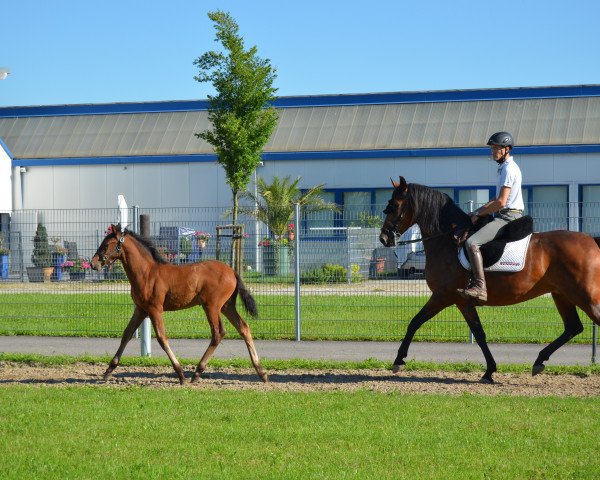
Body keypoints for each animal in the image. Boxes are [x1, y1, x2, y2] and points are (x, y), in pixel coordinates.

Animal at [90, 223, 268, 384]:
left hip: (212, 306)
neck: (146, 273)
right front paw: (108, 371)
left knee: (218, 333)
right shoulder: (140, 309)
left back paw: (197, 373)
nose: (93, 264)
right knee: (243, 328)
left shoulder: (155, 309)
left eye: (106, 245)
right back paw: (261, 372)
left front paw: (181, 374)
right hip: (226, 306)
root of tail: (232, 271)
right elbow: (126, 334)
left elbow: (162, 338)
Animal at [380, 176, 600, 382]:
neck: (447, 240)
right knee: (573, 327)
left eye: (394, 206)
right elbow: (479, 334)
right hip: (561, 294)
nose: (384, 238)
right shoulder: (462, 302)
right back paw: (539, 361)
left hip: (584, 296)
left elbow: (414, 322)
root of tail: (592, 241)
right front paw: (489, 371)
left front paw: (398, 360)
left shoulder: (443, 296)